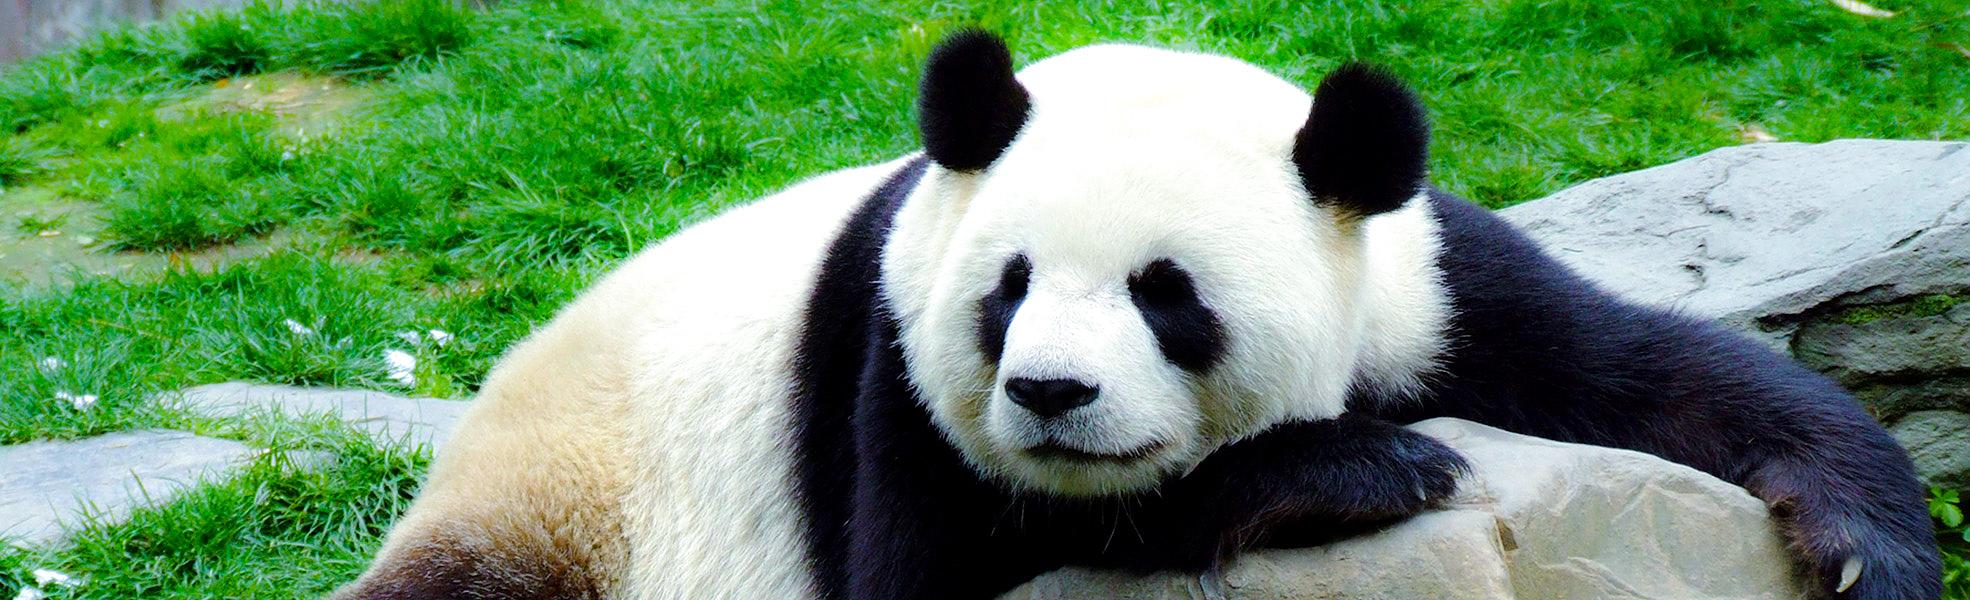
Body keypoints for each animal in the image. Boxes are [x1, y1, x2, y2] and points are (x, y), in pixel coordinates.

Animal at [334, 31, 1939, 600]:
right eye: (1006, 294)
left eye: (1170, 301)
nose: (1052, 397)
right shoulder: (888, 375)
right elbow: (940, 573)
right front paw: (1359, 468)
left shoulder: (1425, 284)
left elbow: (1650, 372)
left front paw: (1865, 547)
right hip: (572, 504)